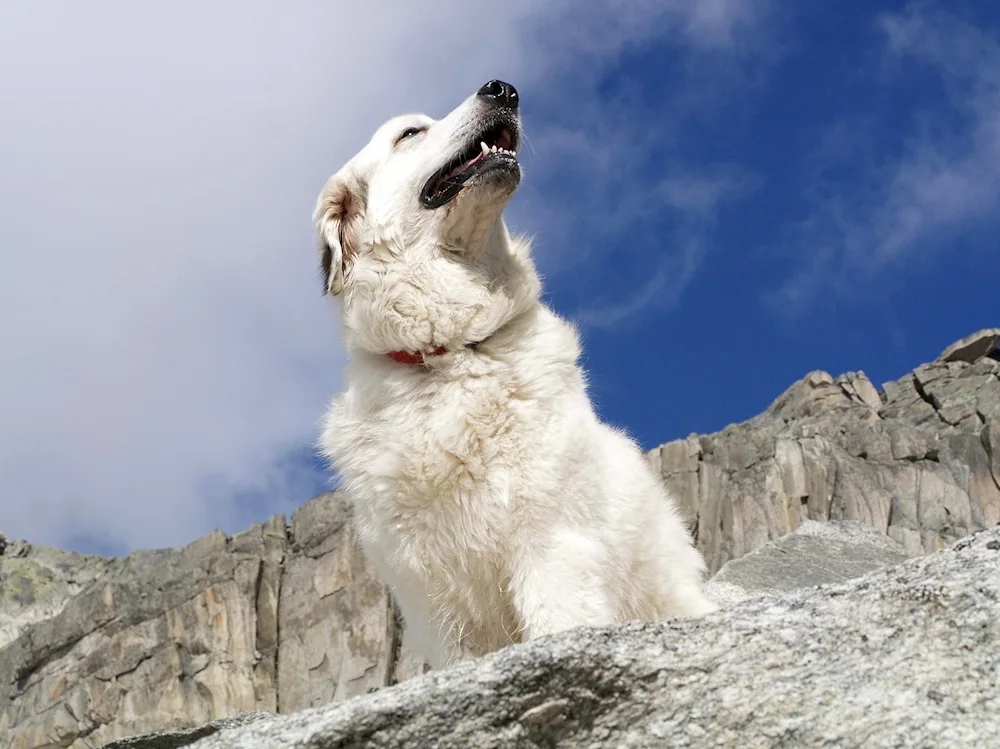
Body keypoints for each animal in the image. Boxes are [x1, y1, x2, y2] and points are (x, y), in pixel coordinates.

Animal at [316, 80, 716, 668]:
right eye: (410, 133)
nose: (502, 89)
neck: (452, 353)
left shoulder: (552, 544)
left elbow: (558, 622)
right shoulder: (434, 599)